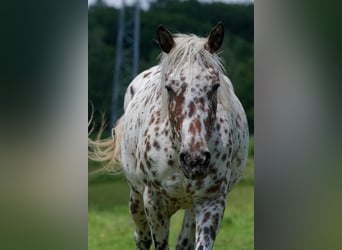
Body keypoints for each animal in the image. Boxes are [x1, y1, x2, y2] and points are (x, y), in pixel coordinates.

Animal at [89, 22, 250, 250]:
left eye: (215, 86)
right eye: (169, 87)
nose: (194, 160)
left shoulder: (211, 201)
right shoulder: (154, 201)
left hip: (191, 207)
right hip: (136, 199)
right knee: (141, 237)